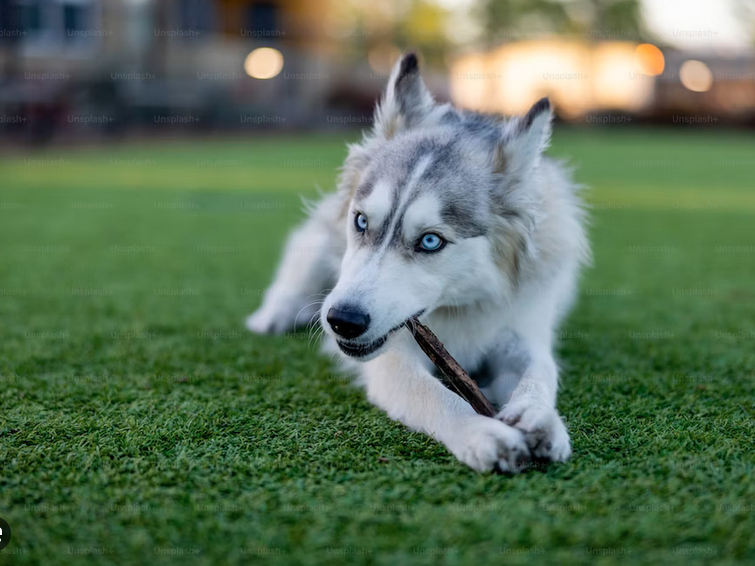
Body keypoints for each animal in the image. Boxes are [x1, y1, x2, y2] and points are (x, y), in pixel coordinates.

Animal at [248, 54, 592, 474]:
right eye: (361, 221)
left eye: (430, 241)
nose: (342, 321)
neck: (460, 308)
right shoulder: (393, 359)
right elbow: (436, 396)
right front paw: (481, 433)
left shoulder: (523, 332)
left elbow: (541, 372)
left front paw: (539, 416)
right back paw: (273, 315)